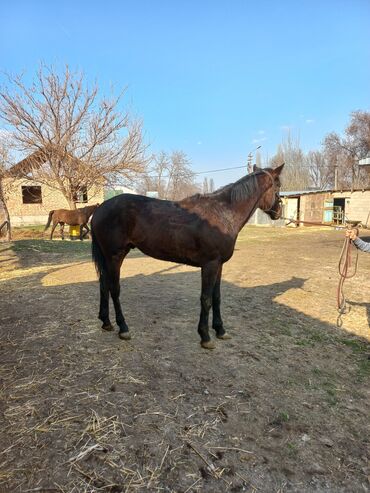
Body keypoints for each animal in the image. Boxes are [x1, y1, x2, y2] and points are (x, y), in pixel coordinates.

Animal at [92, 166, 284, 350]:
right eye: (278, 186)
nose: (278, 212)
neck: (223, 214)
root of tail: (100, 208)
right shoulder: (209, 265)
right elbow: (206, 299)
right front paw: (205, 337)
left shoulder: (219, 265)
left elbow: (217, 297)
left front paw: (220, 330)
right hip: (115, 256)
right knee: (114, 289)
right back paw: (123, 328)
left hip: (109, 257)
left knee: (103, 285)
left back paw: (106, 322)